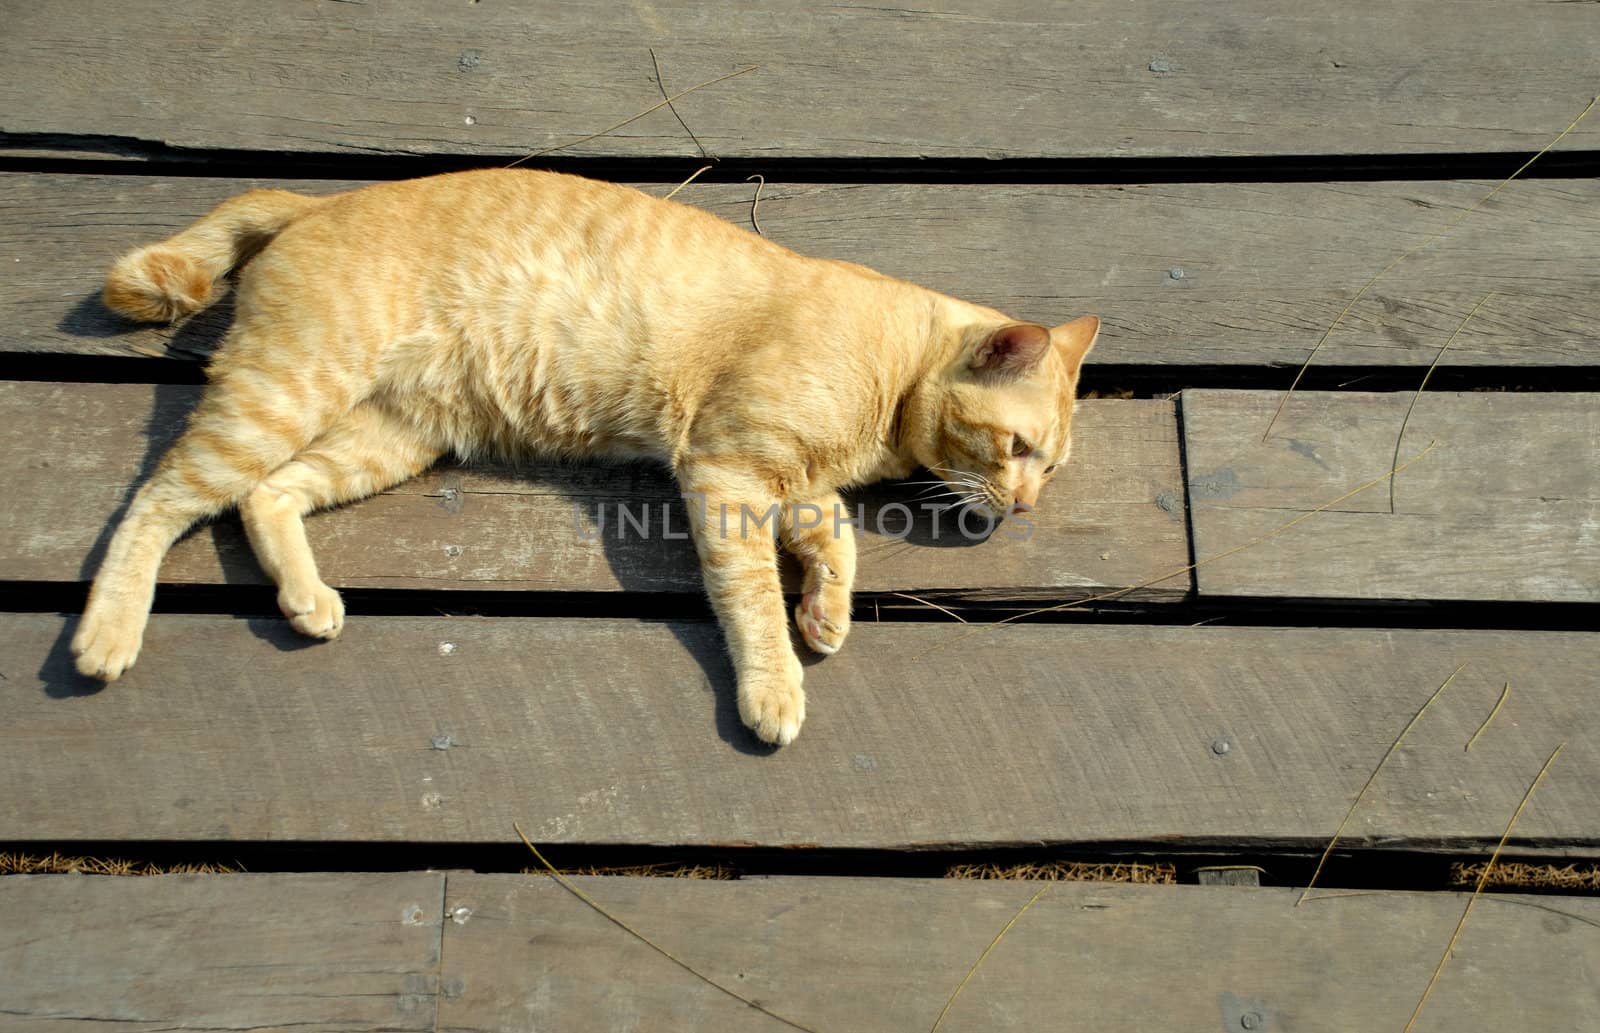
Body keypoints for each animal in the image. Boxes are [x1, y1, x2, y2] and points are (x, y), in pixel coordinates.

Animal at [75, 174, 1100, 748]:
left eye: (1051, 469)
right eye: (1019, 449)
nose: (1023, 508)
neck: (888, 377)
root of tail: (323, 197)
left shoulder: (792, 483)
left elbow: (834, 536)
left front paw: (827, 611)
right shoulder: (728, 472)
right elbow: (752, 599)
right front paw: (777, 679)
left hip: (388, 434)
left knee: (265, 496)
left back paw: (305, 598)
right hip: (283, 392)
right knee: (154, 501)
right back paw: (106, 635)